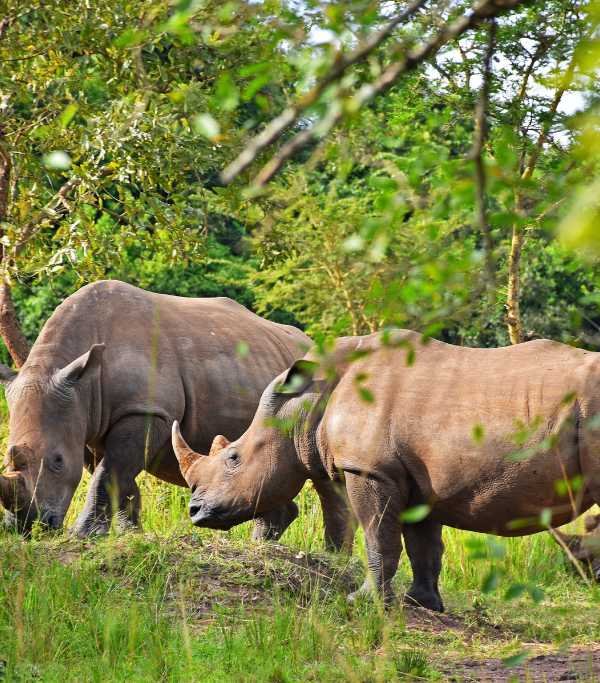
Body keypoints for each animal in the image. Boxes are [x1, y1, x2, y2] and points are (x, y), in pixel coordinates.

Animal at [0, 279, 312, 538]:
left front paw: (83, 534)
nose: (29, 527)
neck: (83, 383)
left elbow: (107, 475)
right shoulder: (88, 422)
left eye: (58, 461)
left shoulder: (145, 410)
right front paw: (130, 533)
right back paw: (261, 545)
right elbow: (118, 479)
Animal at [172, 329, 600, 612]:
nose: (194, 512)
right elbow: (424, 546)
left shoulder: (369, 470)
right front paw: (422, 604)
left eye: (234, 458)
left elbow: (379, 536)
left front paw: (362, 600)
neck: (303, 404)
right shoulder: (418, 479)